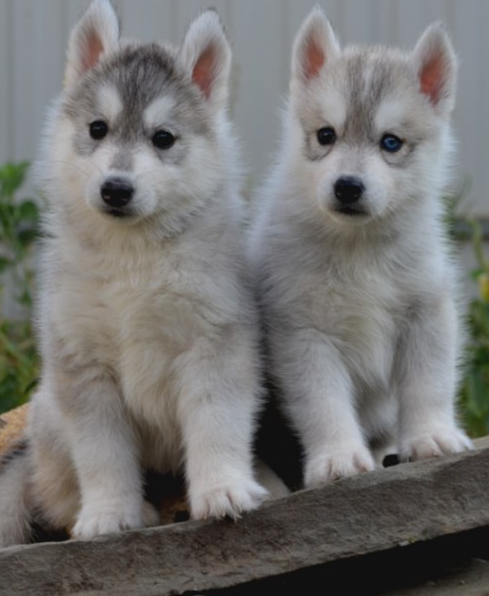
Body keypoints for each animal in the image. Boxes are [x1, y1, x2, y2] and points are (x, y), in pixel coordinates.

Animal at [0, 0, 266, 548]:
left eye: (163, 139)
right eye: (97, 129)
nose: (116, 189)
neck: (133, 260)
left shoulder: (214, 345)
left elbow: (217, 425)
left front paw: (223, 489)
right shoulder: (84, 368)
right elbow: (102, 455)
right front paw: (108, 514)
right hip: (50, 415)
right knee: (57, 498)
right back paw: (138, 510)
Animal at [250, 8, 470, 488]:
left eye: (390, 142)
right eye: (326, 135)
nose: (348, 187)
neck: (359, 246)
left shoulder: (426, 312)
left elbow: (428, 383)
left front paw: (430, 437)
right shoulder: (303, 333)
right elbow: (323, 402)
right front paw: (337, 458)